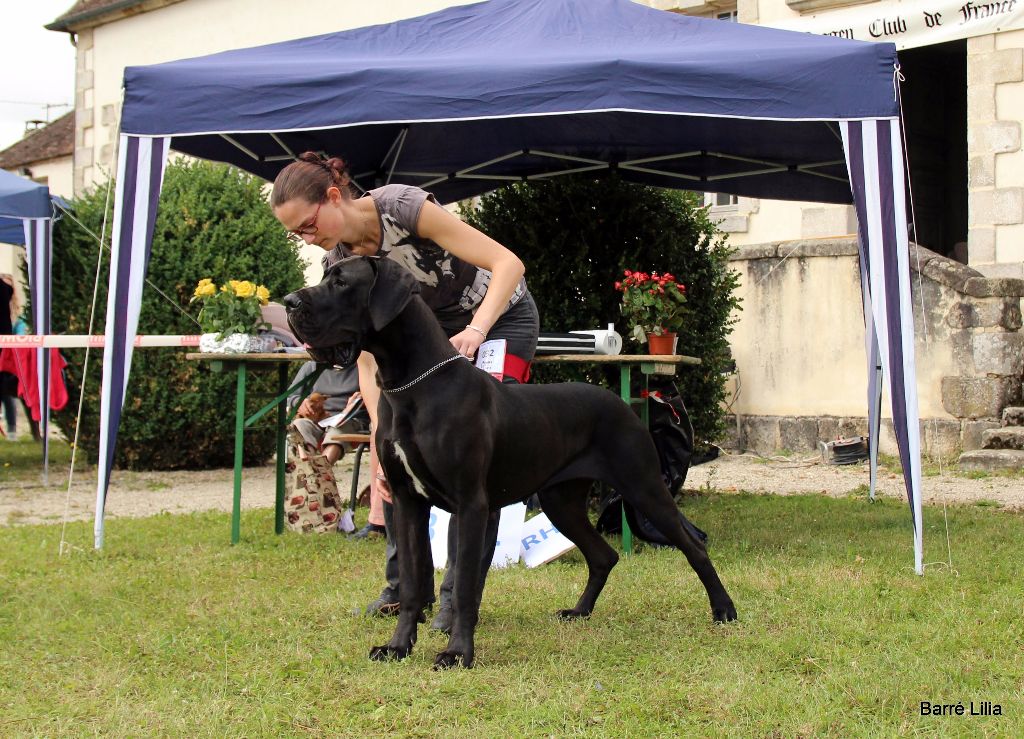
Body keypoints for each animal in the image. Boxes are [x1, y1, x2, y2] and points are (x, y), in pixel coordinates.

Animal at [284, 254, 737, 667]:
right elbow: (413, 584)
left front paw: (458, 653)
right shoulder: (408, 500)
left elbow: (465, 586)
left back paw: (724, 611)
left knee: (693, 546)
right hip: (561, 501)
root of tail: (625, 404)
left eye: (341, 282)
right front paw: (397, 648)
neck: (410, 386)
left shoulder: (470, 505)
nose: (288, 301)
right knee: (604, 555)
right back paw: (579, 612)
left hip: (643, 487)